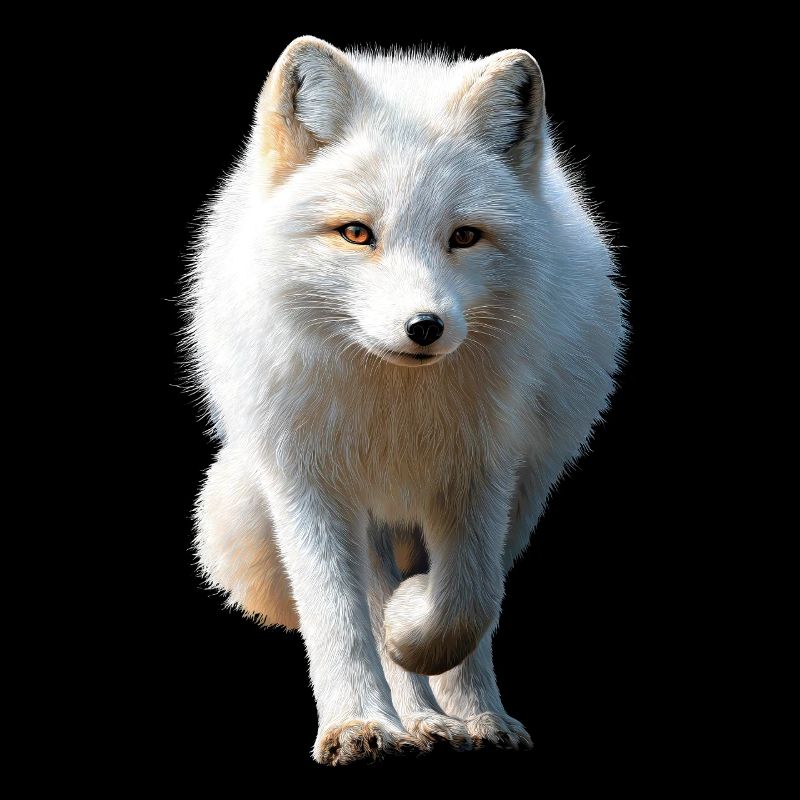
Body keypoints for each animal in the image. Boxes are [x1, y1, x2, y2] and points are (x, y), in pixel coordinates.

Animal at [184, 36, 626, 765]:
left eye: (465, 237)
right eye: (356, 233)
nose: (425, 327)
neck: (397, 409)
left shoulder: (482, 469)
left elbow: (468, 601)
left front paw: (419, 638)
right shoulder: (309, 479)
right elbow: (339, 615)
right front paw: (359, 723)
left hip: (527, 490)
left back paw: (467, 716)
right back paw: (413, 718)